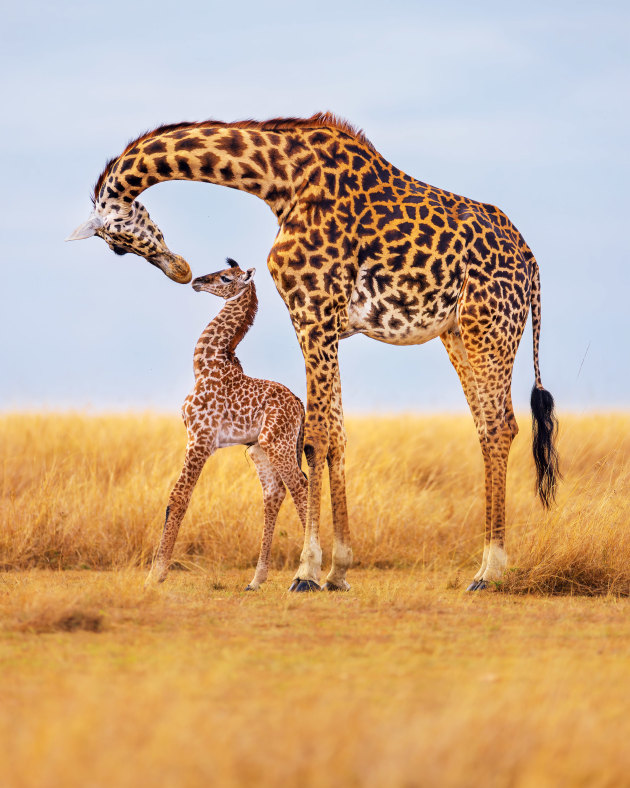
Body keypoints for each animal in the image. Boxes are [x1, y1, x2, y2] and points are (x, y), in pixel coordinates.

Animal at [145, 258, 308, 590]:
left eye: (225, 277)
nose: (196, 281)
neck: (206, 366)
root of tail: (299, 404)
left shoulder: (200, 438)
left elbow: (178, 497)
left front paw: (156, 574)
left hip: (278, 443)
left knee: (301, 485)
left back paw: (307, 576)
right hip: (260, 448)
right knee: (274, 493)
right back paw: (256, 580)